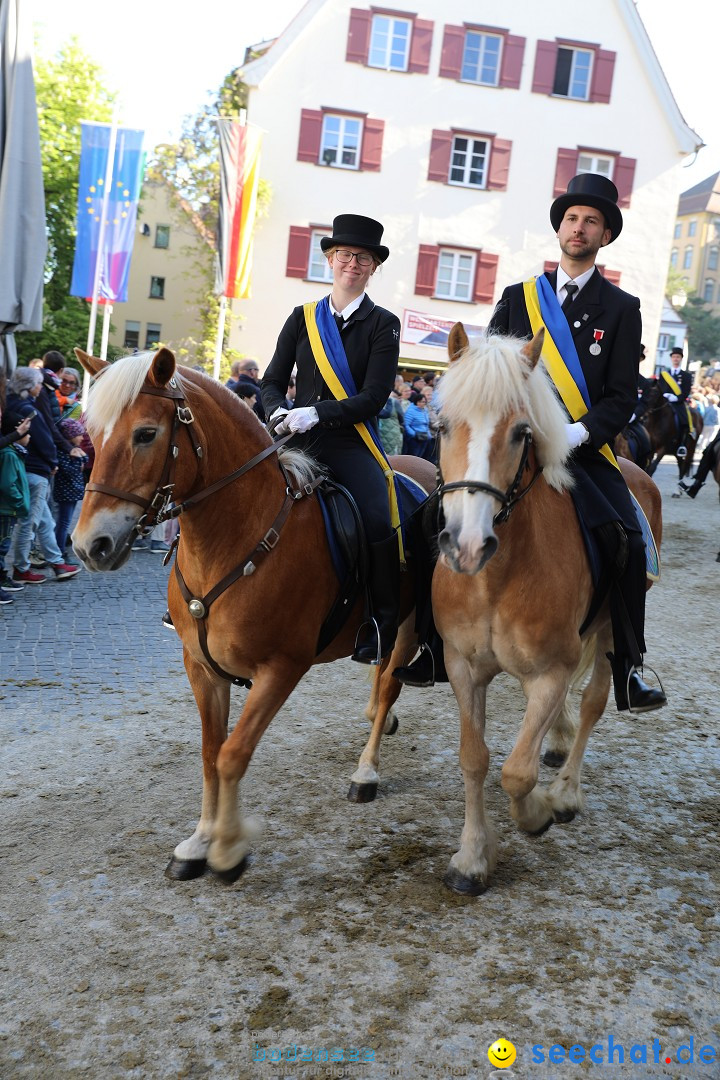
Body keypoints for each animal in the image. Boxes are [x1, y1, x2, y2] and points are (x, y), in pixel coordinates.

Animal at [73, 349, 433, 881]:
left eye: (145, 434)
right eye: (91, 434)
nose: (89, 546)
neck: (232, 538)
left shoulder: (281, 668)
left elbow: (233, 754)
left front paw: (227, 849)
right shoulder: (201, 667)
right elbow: (209, 753)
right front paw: (199, 842)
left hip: (407, 621)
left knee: (390, 681)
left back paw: (367, 770)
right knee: (381, 675)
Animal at [431, 326, 660, 894]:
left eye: (520, 433)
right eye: (441, 426)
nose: (466, 546)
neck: (494, 578)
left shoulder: (554, 669)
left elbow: (517, 771)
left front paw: (535, 813)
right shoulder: (462, 666)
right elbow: (475, 758)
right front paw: (472, 857)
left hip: (609, 634)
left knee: (594, 703)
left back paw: (566, 792)